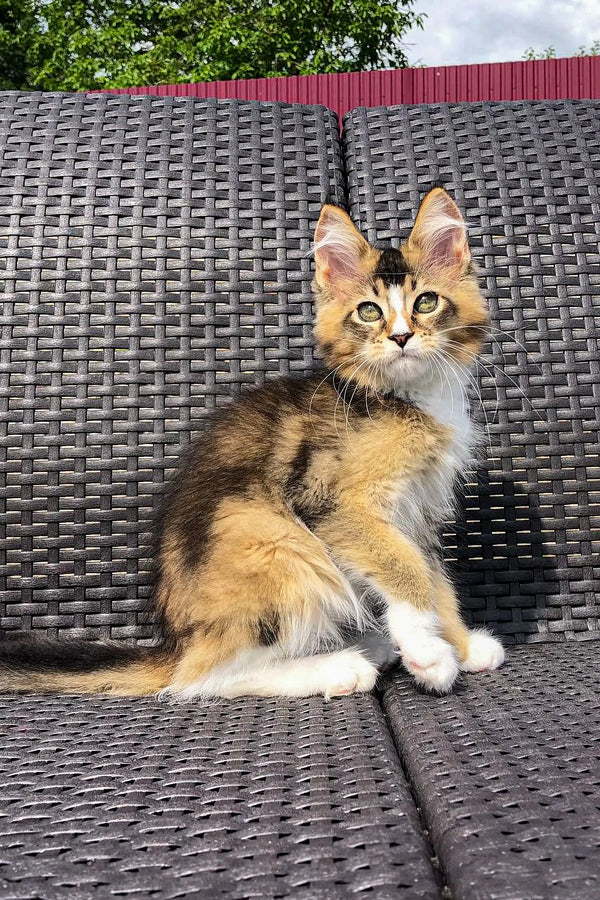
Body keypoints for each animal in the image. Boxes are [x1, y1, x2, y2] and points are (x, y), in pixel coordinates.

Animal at [0, 186, 506, 700]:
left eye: (426, 303)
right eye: (369, 311)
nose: (401, 337)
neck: (401, 395)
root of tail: (177, 641)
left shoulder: (418, 511)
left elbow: (434, 576)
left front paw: (462, 646)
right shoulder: (333, 501)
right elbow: (405, 568)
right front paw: (430, 655)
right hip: (272, 537)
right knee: (200, 677)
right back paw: (340, 667)